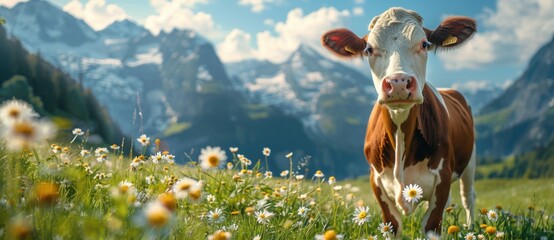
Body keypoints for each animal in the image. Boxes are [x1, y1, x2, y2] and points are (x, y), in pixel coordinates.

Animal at [322, 7, 476, 236]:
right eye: (369, 49)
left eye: (425, 44)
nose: (398, 83)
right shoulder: (376, 181)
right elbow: (392, 224)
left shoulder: (443, 176)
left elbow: (432, 225)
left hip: (470, 162)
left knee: (468, 197)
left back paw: (471, 227)